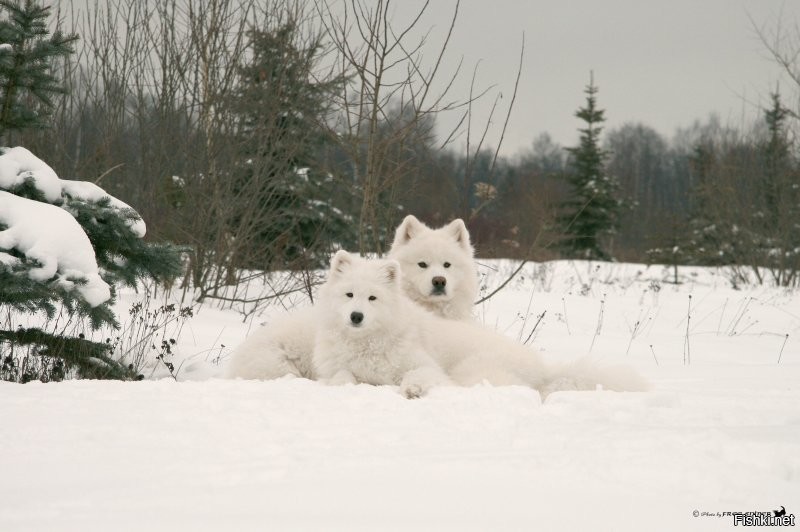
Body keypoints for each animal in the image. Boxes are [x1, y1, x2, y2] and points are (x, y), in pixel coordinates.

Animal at [312, 251, 648, 396]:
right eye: (349, 295)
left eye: (372, 298)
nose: (356, 316)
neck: (367, 342)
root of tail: (544, 372)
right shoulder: (335, 368)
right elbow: (342, 376)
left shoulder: (426, 364)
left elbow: (419, 374)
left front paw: (414, 388)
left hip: (472, 368)